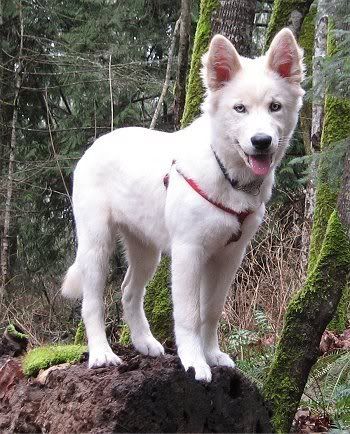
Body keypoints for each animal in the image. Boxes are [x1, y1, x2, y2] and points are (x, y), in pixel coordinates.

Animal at [62, 28, 304, 380]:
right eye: (239, 108)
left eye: (275, 106)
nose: (261, 142)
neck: (226, 173)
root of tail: (97, 144)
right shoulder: (189, 252)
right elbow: (189, 314)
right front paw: (194, 361)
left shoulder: (228, 256)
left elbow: (211, 310)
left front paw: (212, 353)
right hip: (96, 244)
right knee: (92, 302)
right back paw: (101, 354)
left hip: (145, 249)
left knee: (129, 292)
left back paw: (144, 343)